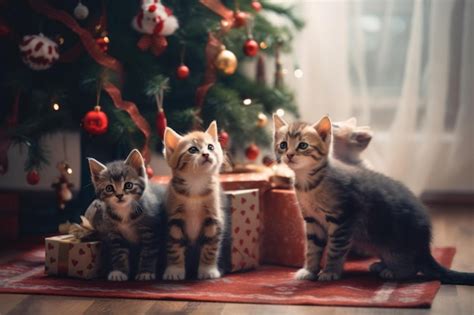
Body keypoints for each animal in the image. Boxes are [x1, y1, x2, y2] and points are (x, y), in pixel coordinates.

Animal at [85, 149, 165, 282]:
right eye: (109, 188)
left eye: (128, 185)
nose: (119, 195)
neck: (124, 212)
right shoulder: (114, 234)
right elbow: (119, 254)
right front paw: (119, 272)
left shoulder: (150, 230)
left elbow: (148, 252)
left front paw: (146, 272)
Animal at [162, 121, 225, 282]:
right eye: (192, 149)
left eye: (210, 147)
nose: (206, 154)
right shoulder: (174, 220)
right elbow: (174, 246)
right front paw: (175, 270)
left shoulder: (213, 219)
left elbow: (210, 247)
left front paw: (208, 270)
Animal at [272, 115, 474, 286]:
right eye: (283, 145)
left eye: (303, 145)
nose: (289, 155)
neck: (308, 184)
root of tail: (424, 248)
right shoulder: (312, 221)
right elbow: (312, 249)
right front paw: (309, 270)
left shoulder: (344, 218)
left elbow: (335, 250)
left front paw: (330, 272)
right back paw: (381, 265)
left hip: (394, 243)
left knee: (413, 269)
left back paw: (394, 272)